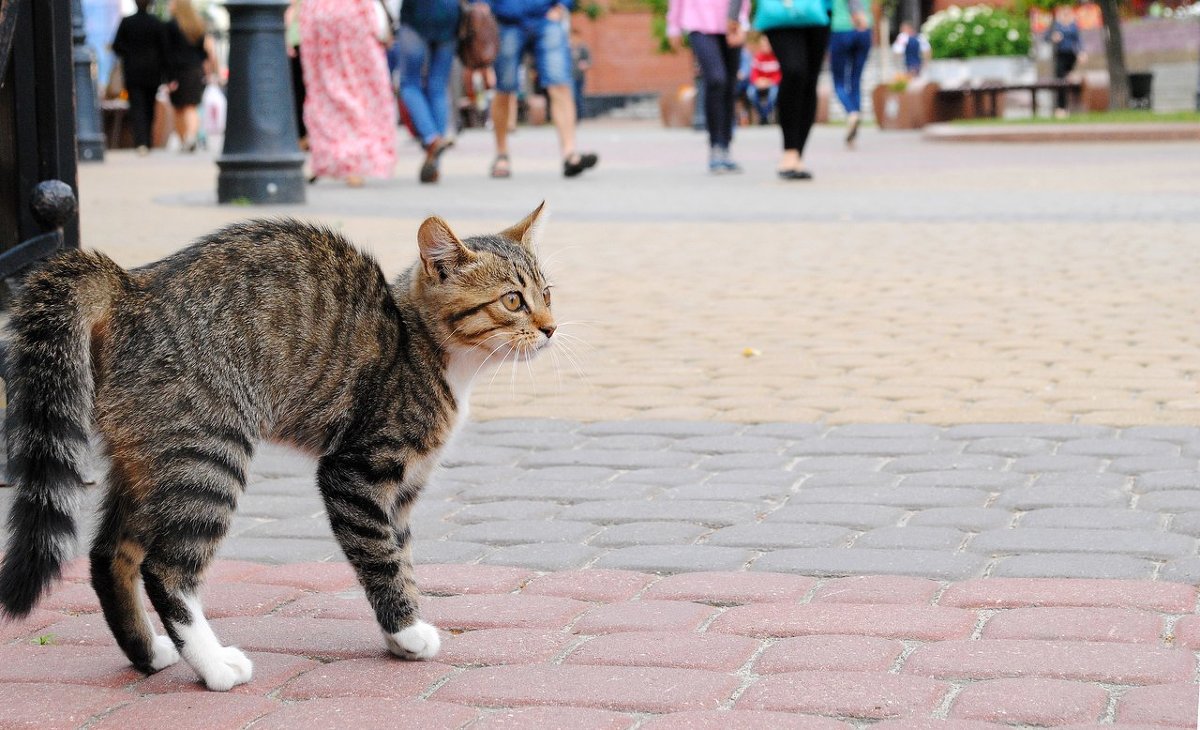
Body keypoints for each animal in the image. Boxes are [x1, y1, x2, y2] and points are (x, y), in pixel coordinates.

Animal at [0, 204, 554, 691]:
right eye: (512, 300)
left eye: (547, 292)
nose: (550, 328)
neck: (423, 343)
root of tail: (131, 288)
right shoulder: (355, 472)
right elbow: (380, 554)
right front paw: (407, 630)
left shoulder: (404, 488)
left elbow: (401, 553)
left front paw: (402, 631)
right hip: (208, 454)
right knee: (165, 570)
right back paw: (213, 665)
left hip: (151, 461)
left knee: (109, 553)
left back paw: (147, 652)